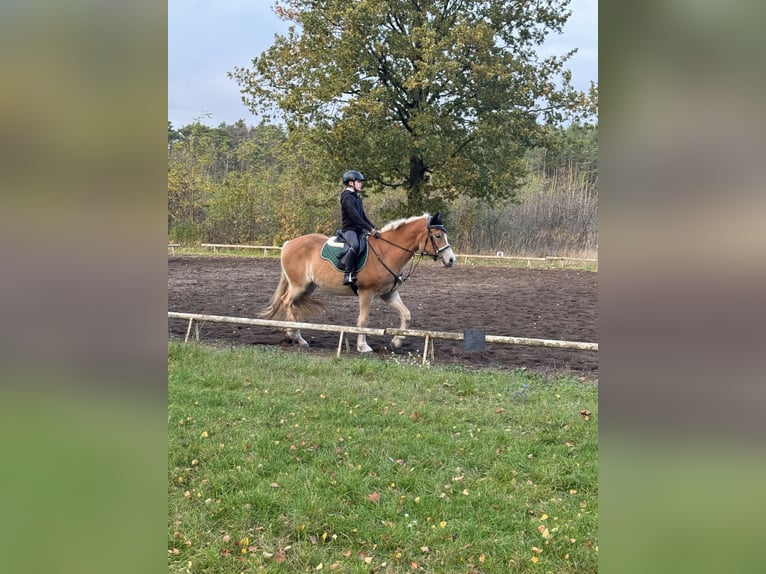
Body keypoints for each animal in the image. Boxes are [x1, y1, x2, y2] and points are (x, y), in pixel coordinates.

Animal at [260, 214, 460, 354]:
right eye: (437, 235)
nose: (451, 260)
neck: (386, 251)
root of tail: (288, 244)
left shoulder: (388, 294)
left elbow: (407, 314)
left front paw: (396, 341)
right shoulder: (366, 293)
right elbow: (363, 320)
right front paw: (363, 347)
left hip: (308, 288)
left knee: (291, 304)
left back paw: (292, 335)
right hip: (299, 285)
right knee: (286, 301)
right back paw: (296, 336)